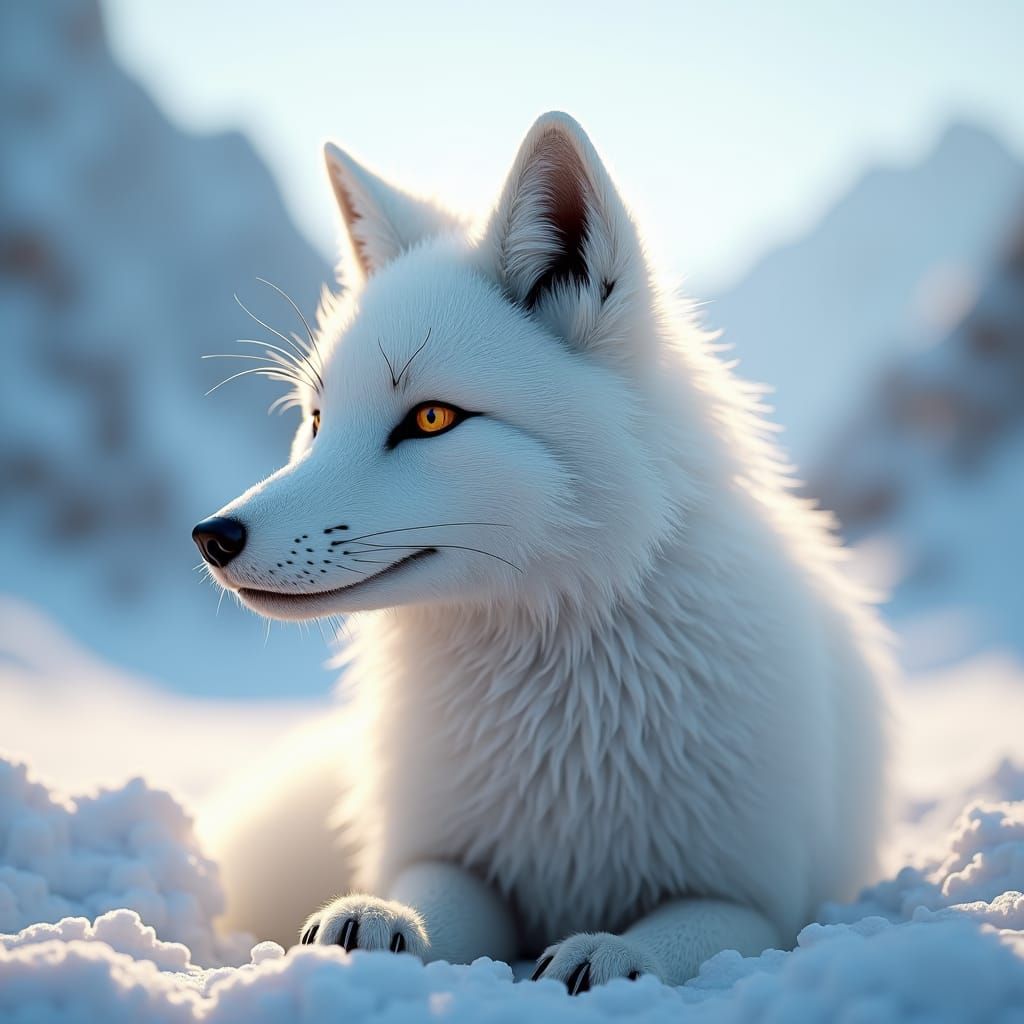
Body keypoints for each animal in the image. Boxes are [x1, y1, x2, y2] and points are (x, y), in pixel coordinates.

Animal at [193, 112, 890, 990]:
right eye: (317, 420)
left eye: (430, 419)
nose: (213, 536)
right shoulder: (457, 853)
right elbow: (429, 893)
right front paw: (378, 916)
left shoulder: (758, 897)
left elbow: (676, 934)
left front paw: (612, 951)